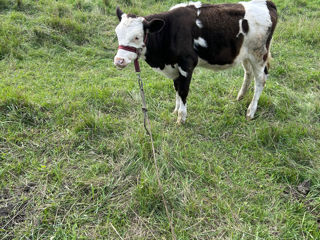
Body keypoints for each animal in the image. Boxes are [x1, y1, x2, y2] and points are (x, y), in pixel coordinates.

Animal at [114, 0, 276, 124]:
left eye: (137, 37)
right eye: (117, 34)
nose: (119, 61)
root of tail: (266, 3)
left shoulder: (187, 64)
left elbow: (183, 91)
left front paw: (181, 118)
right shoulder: (175, 67)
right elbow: (177, 88)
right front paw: (176, 111)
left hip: (258, 54)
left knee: (260, 80)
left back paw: (251, 111)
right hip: (245, 54)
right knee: (248, 72)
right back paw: (240, 96)